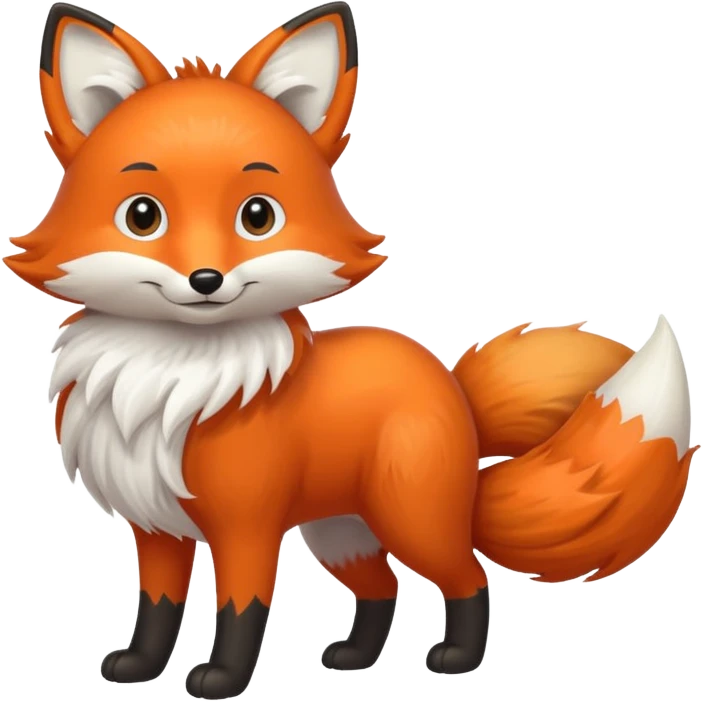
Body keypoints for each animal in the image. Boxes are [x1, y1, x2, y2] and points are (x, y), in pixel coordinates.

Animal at [4, 1, 698, 699]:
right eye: (142, 216)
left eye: (258, 216)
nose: (206, 280)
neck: (173, 382)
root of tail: (455, 391)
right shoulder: (156, 527)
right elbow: (157, 608)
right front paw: (140, 669)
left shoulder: (247, 527)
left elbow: (241, 609)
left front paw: (222, 679)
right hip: (340, 531)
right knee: (382, 587)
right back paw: (357, 657)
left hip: (405, 518)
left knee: (468, 577)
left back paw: (456, 658)